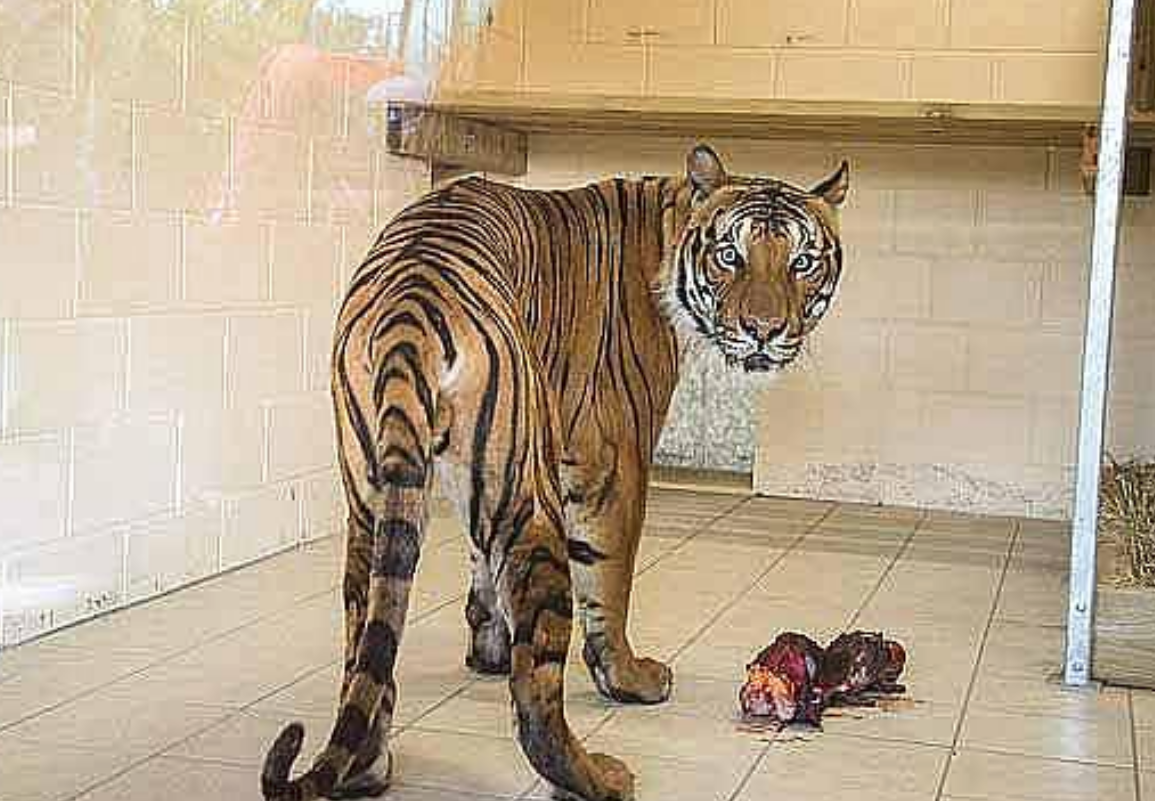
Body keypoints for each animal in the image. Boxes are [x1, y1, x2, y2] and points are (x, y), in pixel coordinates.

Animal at [260, 144, 849, 801]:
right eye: (730, 255)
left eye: (802, 262)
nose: (764, 332)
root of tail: (410, 314)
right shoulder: (612, 455)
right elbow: (611, 585)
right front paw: (630, 678)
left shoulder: (479, 477)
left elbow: (479, 568)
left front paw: (487, 647)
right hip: (529, 506)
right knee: (537, 695)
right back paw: (600, 776)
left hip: (379, 498)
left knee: (366, 643)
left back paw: (368, 769)